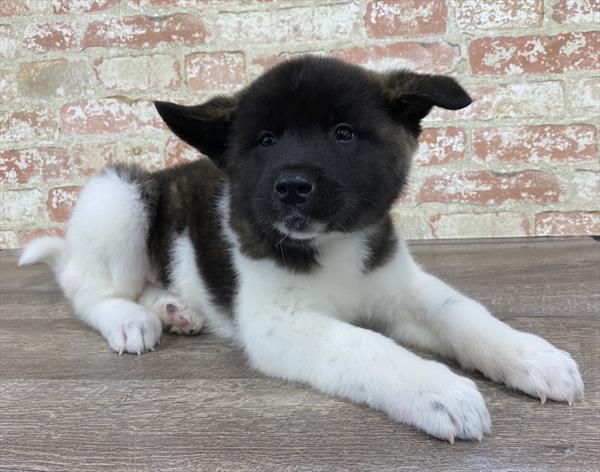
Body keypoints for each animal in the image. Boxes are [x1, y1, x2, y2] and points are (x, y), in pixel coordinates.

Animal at [21, 56, 584, 442]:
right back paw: (130, 318)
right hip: (119, 194)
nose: (292, 186)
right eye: (266, 140)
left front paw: (532, 356)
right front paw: (437, 390)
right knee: (88, 290)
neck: (331, 244)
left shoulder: (401, 286)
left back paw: (173, 307)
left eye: (343, 134)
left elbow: (462, 313)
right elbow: (367, 345)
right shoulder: (279, 325)